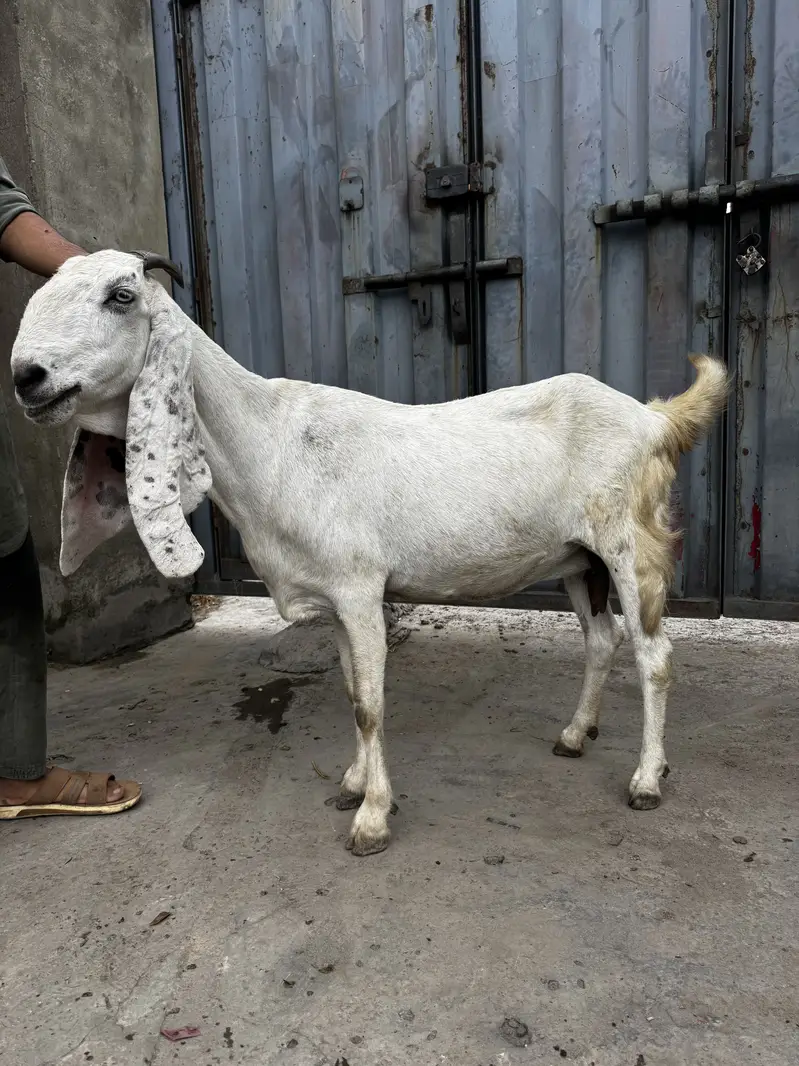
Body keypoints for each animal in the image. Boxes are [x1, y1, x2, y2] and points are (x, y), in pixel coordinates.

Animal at [11, 250, 729, 855]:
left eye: (122, 295)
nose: (26, 377)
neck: (272, 443)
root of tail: (655, 418)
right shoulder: (332, 596)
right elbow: (352, 690)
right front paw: (354, 782)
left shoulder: (359, 589)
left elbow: (370, 704)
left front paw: (372, 818)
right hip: (579, 558)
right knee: (602, 640)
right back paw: (575, 735)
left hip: (629, 543)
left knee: (654, 655)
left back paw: (646, 779)